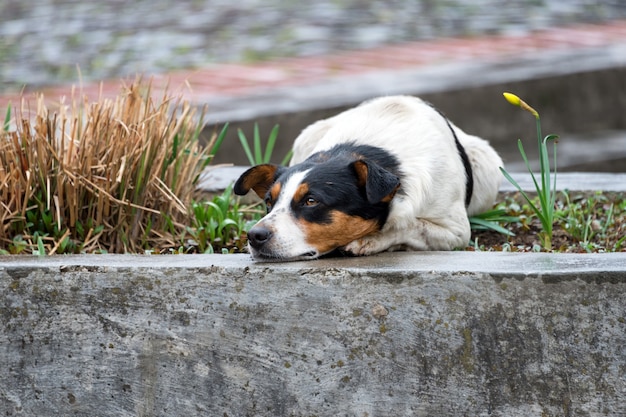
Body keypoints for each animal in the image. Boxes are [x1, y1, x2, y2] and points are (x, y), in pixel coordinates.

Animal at [234, 96, 502, 262]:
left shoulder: (456, 231)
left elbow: (409, 224)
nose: (254, 236)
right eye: (269, 203)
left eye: (311, 201)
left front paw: (371, 240)